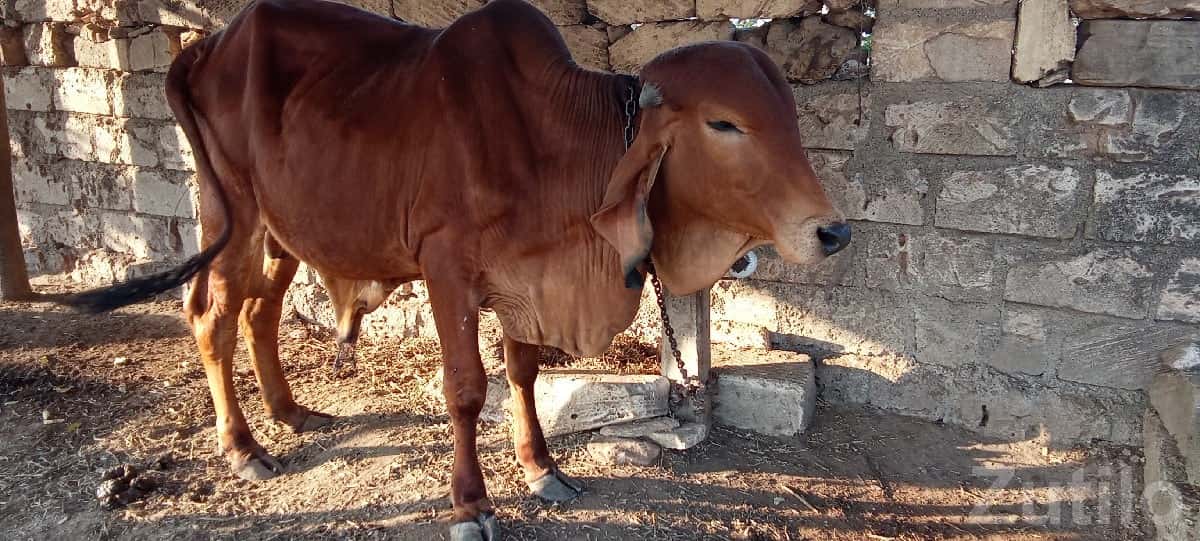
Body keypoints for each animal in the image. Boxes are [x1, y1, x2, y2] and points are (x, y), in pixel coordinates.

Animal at [60, 0, 851, 539]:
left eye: (791, 119)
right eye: (724, 123)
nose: (832, 230)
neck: (558, 140)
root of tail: (204, 44)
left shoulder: (526, 278)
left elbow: (523, 372)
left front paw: (542, 468)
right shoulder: (448, 270)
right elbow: (467, 389)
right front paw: (470, 502)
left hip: (289, 230)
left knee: (260, 312)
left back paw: (291, 412)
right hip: (232, 215)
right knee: (212, 318)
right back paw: (244, 446)